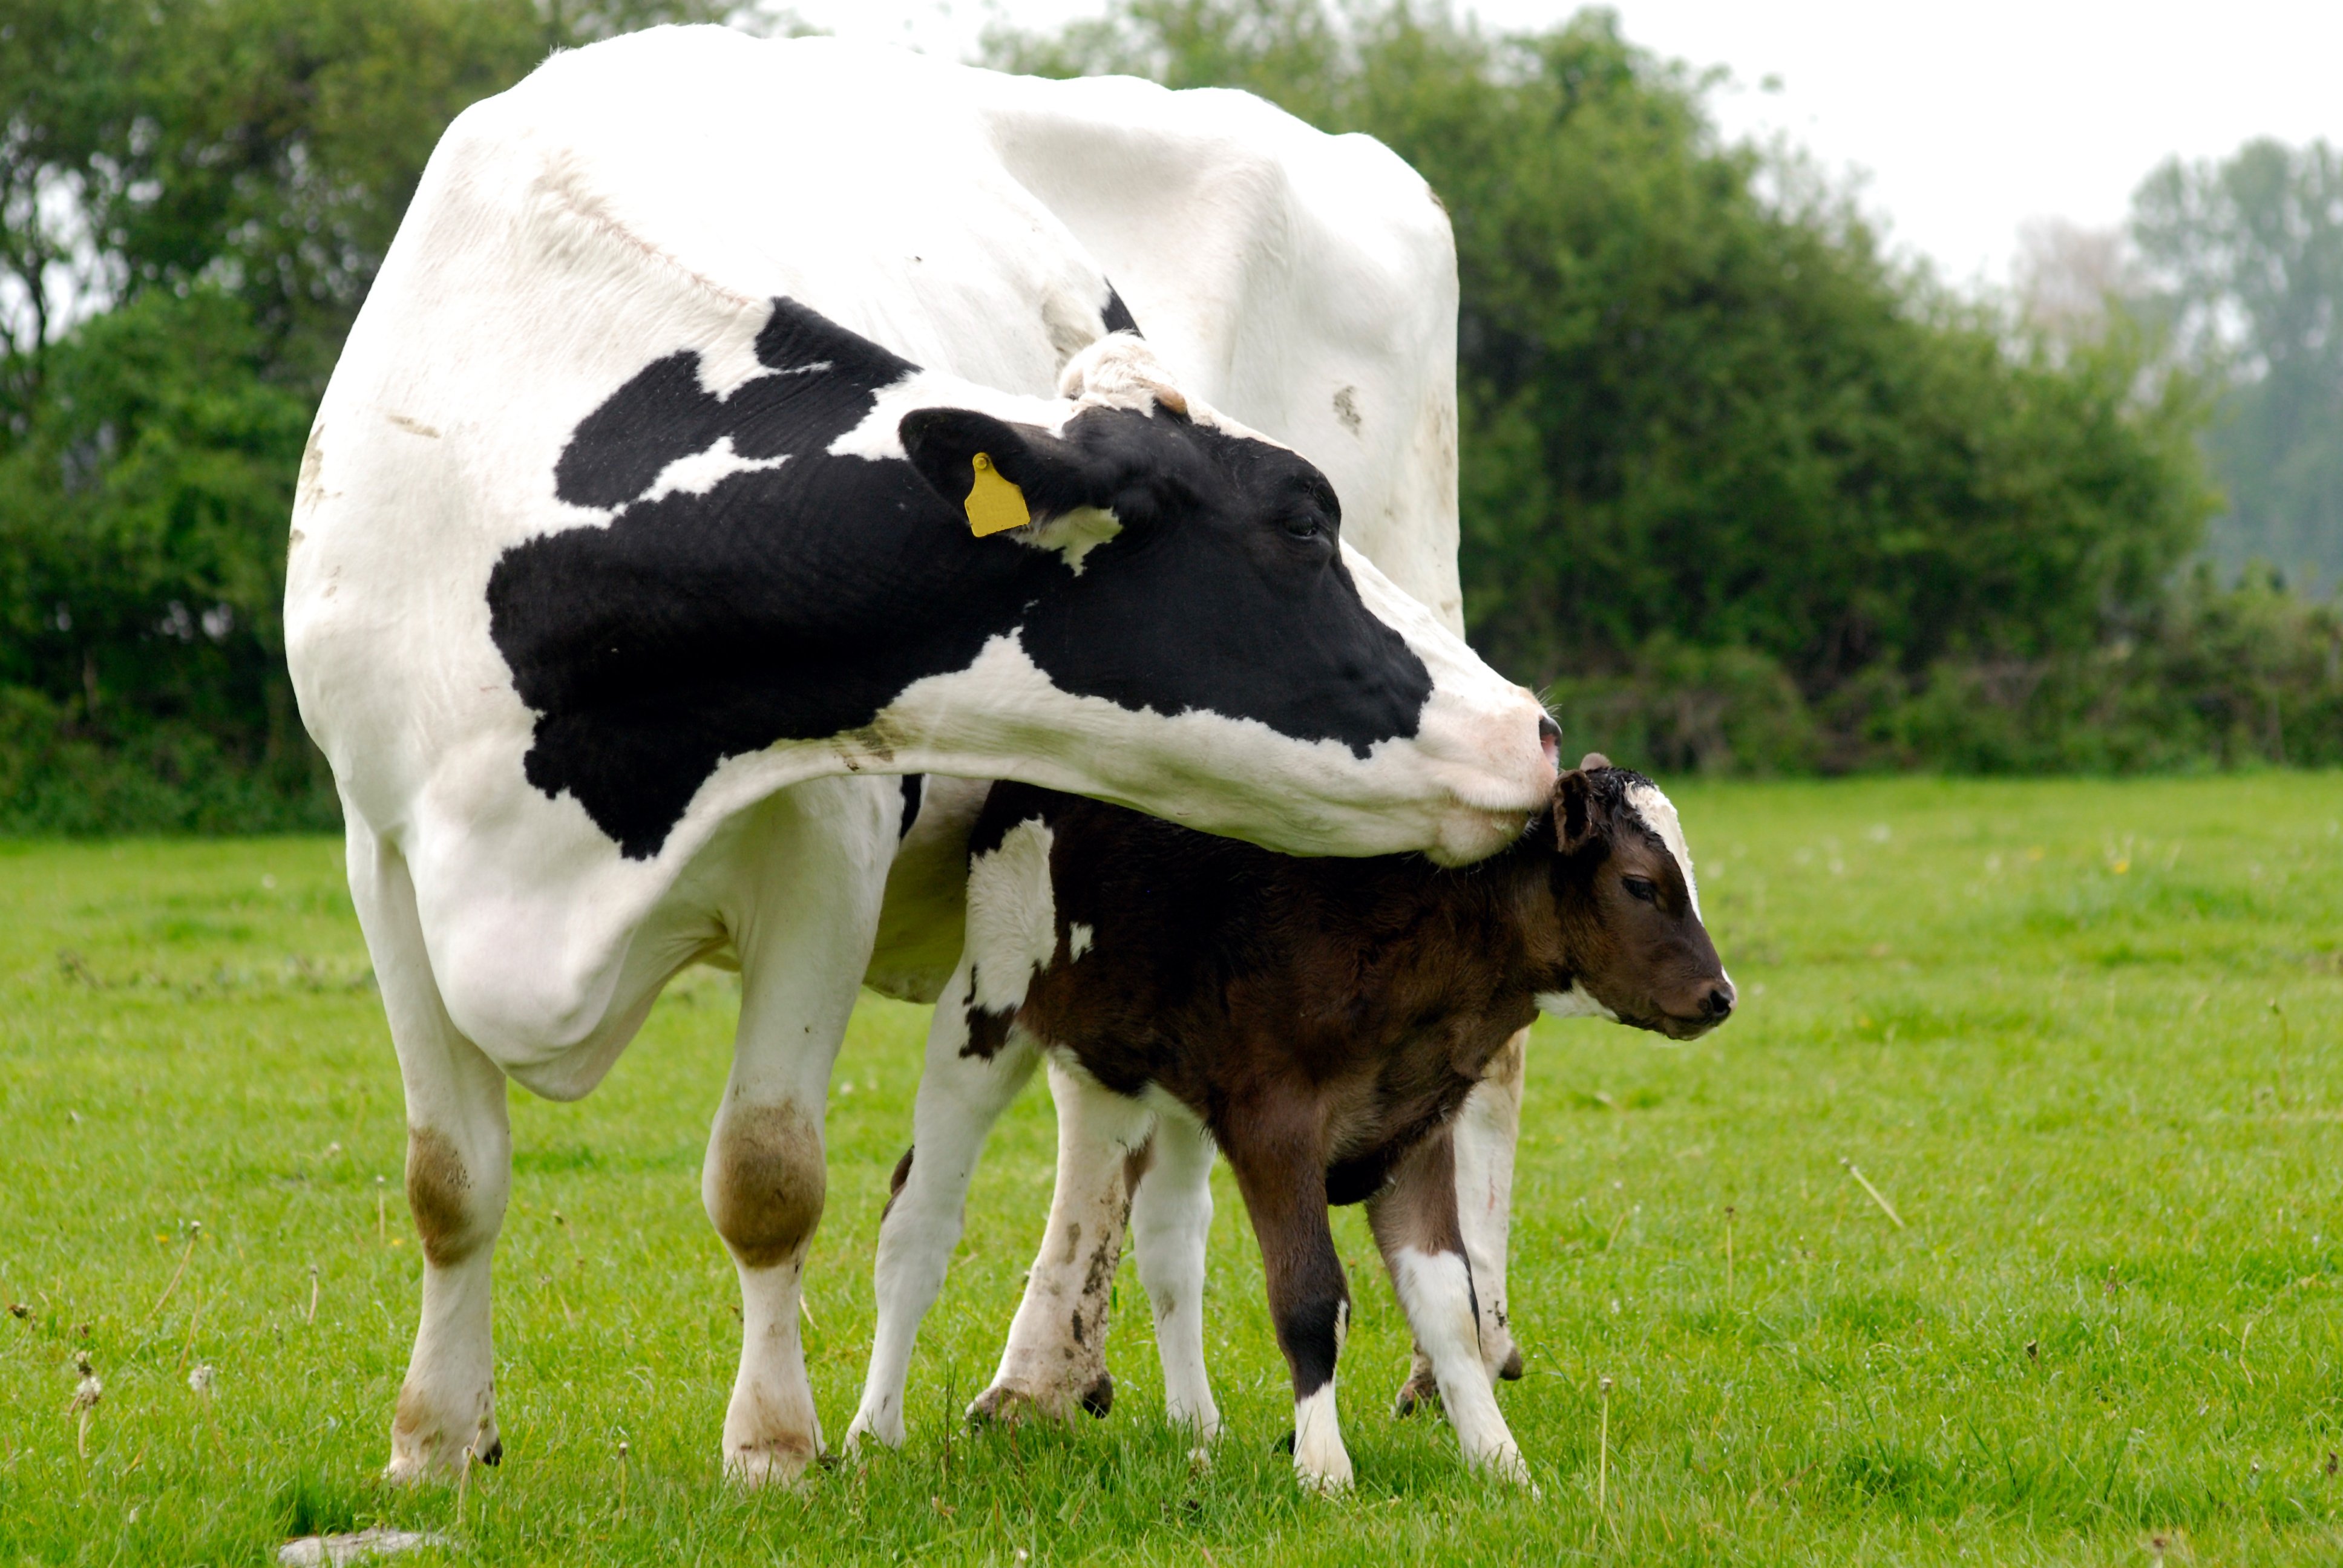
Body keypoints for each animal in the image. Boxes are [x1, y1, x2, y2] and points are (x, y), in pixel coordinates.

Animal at [278, 30, 1556, 1491]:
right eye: (1298, 524)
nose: (1530, 727)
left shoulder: (827, 845)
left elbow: (766, 1175)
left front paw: (773, 1446)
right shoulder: (383, 849)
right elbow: (451, 1180)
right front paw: (435, 1441)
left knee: (1484, 1066)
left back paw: (1450, 1360)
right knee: (1099, 1124)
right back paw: (1044, 1377)